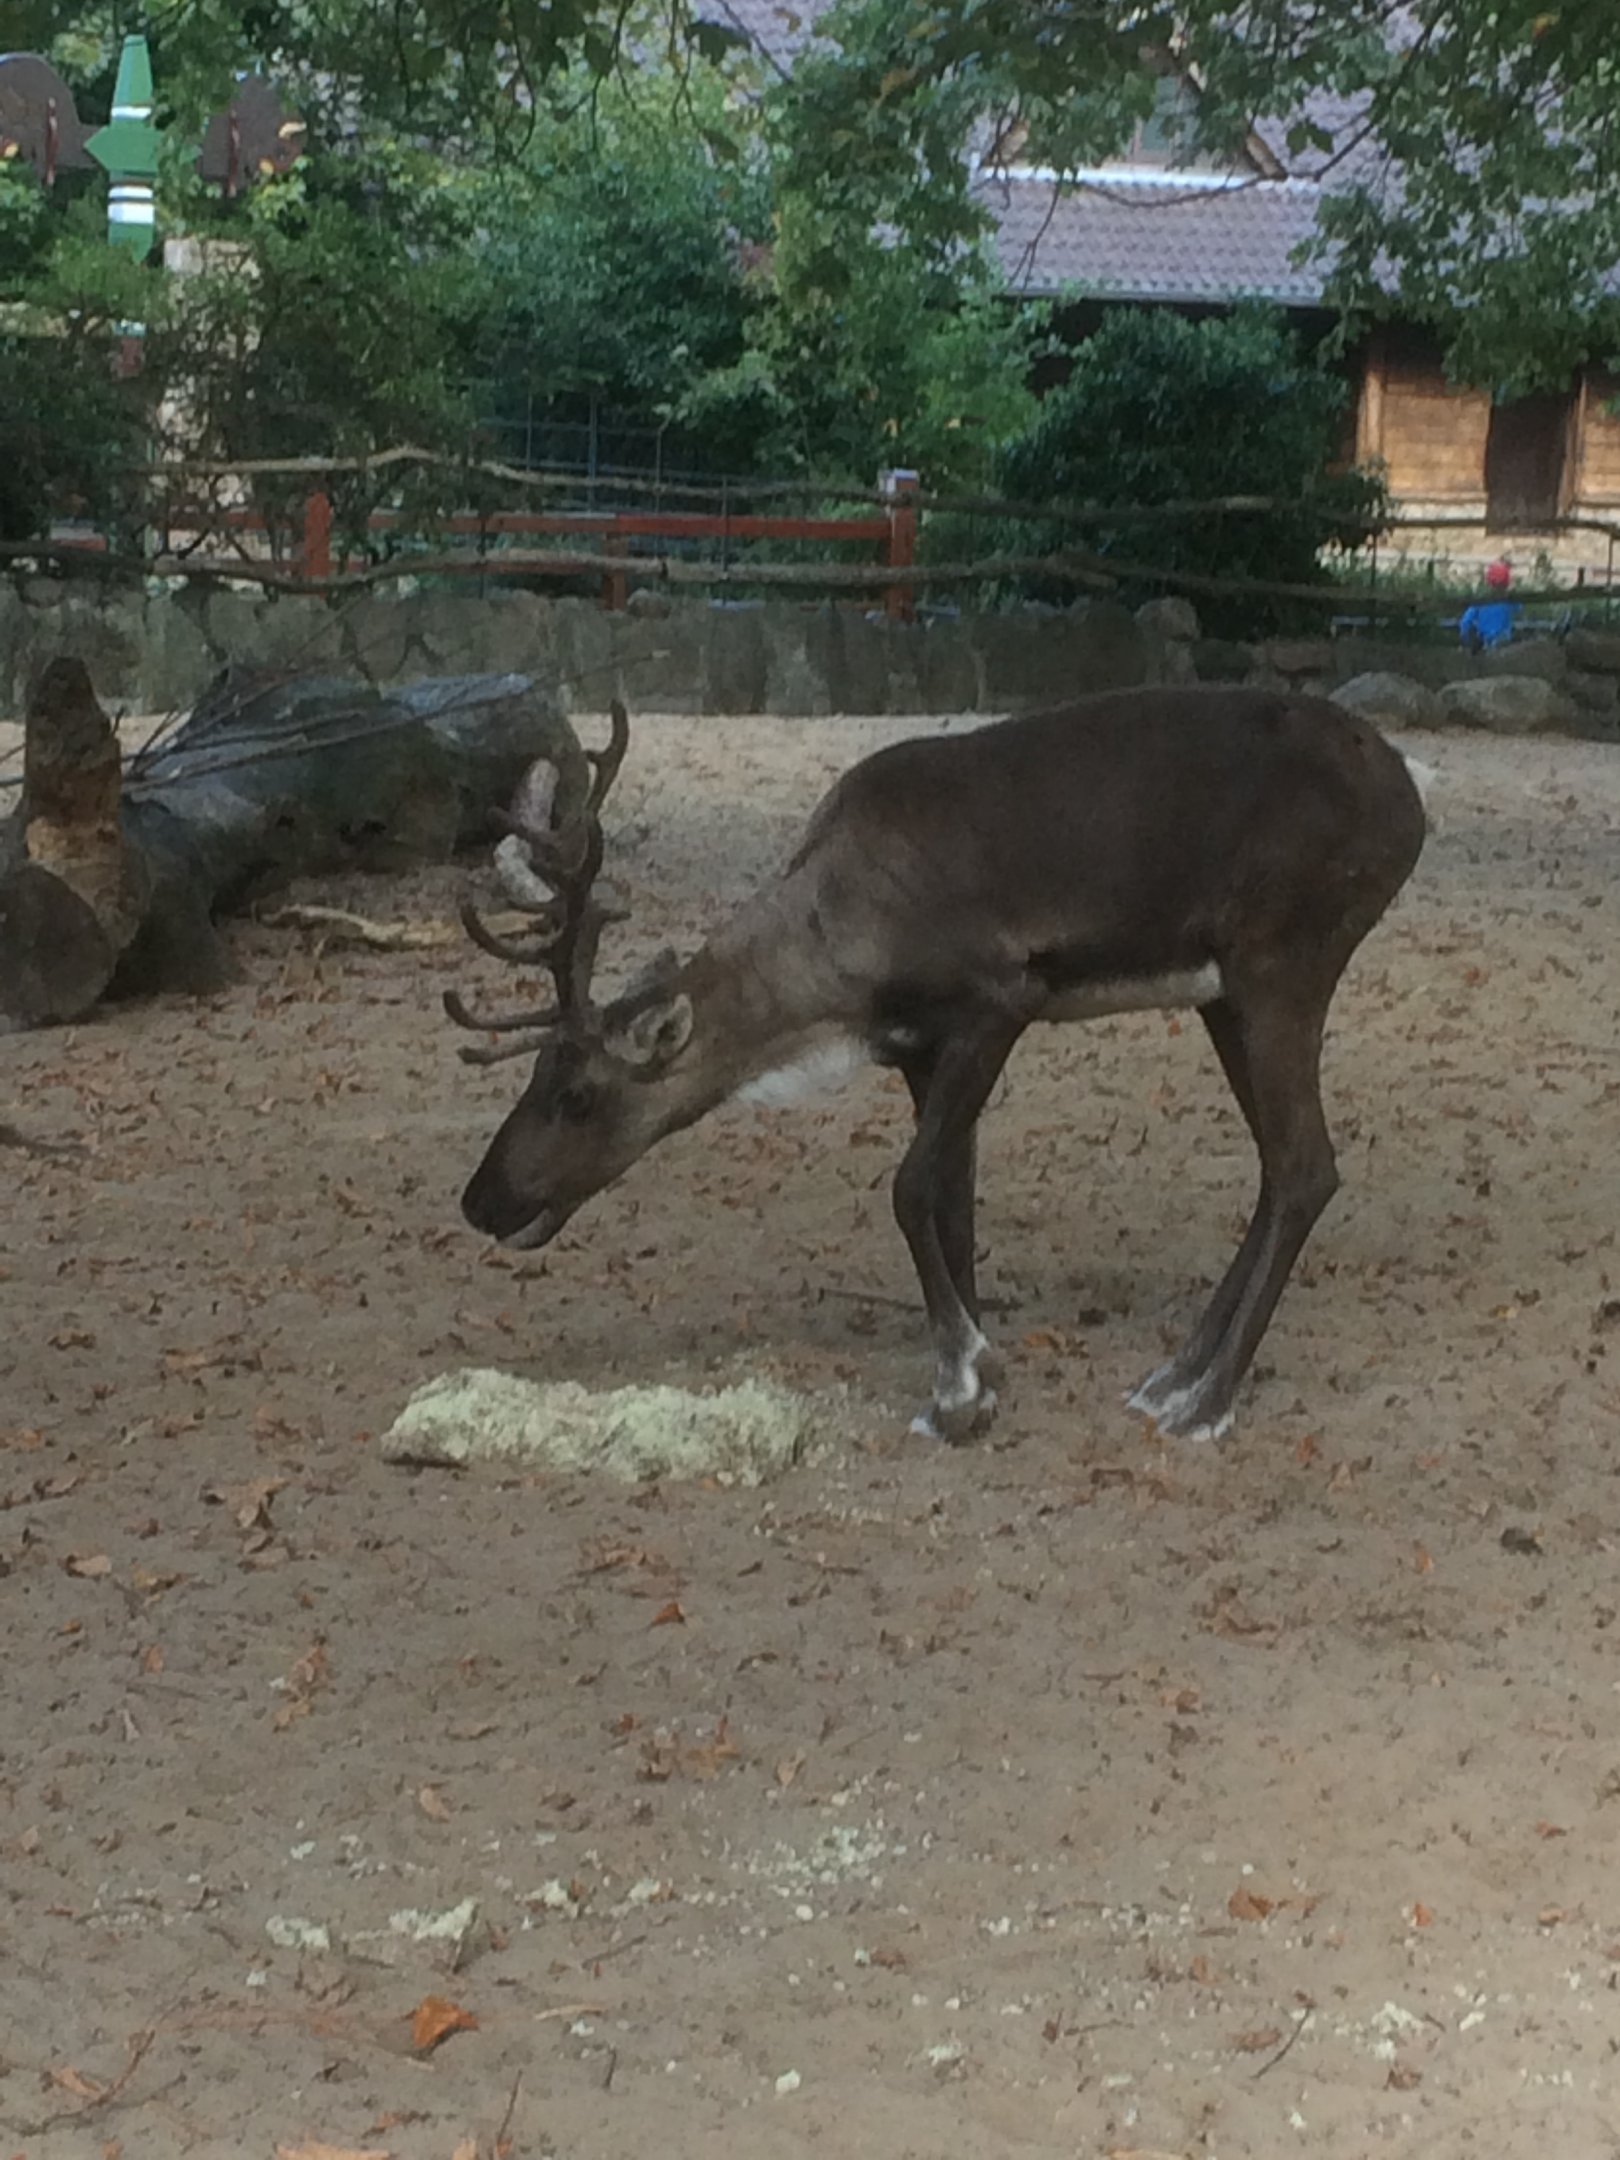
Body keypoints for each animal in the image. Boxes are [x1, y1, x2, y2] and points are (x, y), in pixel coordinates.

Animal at [448, 687, 1427, 1443]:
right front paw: (980, 1372)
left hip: (1281, 958)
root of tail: (1411, 803)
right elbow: (953, 1201)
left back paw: (1205, 1401)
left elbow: (911, 1186)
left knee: (1305, 1166)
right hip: (1223, 992)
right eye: (530, 1077)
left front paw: (958, 1383)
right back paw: (1174, 1373)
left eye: (577, 1094)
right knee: (1277, 1164)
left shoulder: (998, 1000)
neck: (840, 967)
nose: (481, 1199)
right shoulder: (915, 1050)